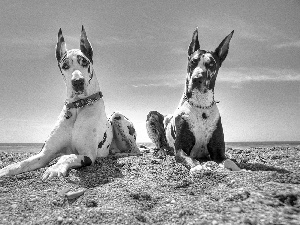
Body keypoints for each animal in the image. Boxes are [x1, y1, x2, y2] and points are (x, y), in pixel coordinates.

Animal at [0, 26, 141, 180]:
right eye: (65, 65)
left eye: (84, 62)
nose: (77, 82)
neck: (78, 106)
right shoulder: (45, 153)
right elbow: (23, 163)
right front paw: (6, 170)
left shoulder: (87, 155)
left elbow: (67, 156)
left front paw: (55, 168)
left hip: (117, 116)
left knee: (136, 150)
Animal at [146, 28, 240, 172]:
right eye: (193, 62)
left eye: (211, 64)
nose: (197, 79)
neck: (201, 106)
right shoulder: (180, 149)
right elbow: (191, 159)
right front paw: (199, 167)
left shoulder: (218, 152)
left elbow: (229, 162)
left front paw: (241, 169)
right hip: (153, 115)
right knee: (160, 144)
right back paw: (161, 152)